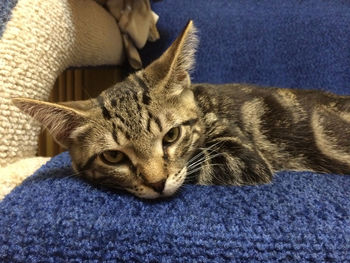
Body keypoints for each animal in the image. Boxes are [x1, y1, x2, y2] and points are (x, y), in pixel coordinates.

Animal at [13, 20, 350, 199]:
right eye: (113, 156)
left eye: (171, 136)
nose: (157, 184)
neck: (203, 104)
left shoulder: (246, 159)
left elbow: (197, 167)